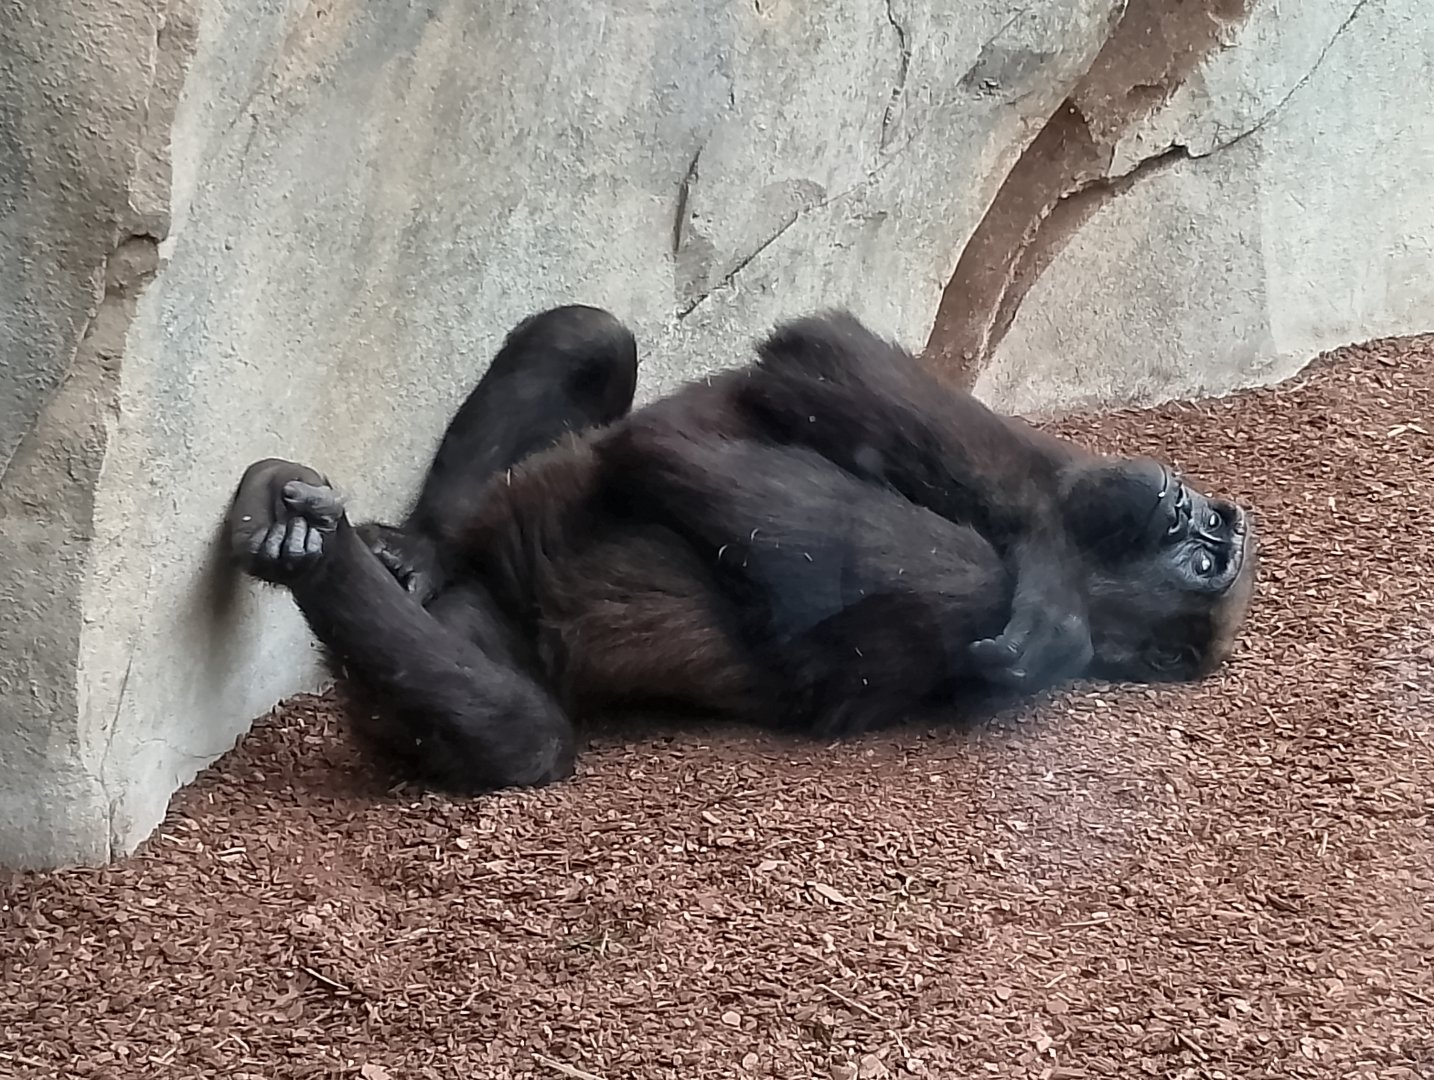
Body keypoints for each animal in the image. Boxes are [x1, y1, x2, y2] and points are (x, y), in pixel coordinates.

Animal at [227, 306, 1257, 794]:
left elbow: (683, 456)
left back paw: (320, 557)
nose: (1212, 513)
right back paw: (422, 547)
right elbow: (834, 358)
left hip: (489, 625)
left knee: (521, 730)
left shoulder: (969, 588)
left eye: (1207, 565)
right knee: (590, 334)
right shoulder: (1048, 459)